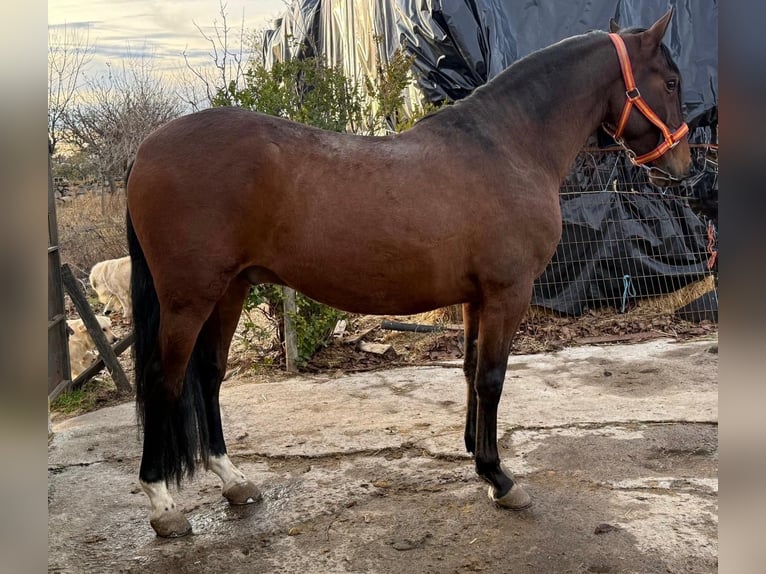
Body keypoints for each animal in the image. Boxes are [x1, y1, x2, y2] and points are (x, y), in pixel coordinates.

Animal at [126, 10, 691, 537]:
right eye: (670, 82)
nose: (683, 165)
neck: (508, 146)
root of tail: (146, 148)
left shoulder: (475, 298)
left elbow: (469, 370)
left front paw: (475, 457)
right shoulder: (508, 293)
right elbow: (492, 378)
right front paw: (500, 479)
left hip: (230, 290)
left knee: (208, 375)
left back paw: (234, 480)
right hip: (189, 299)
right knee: (162, 380)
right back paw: (162, 504)